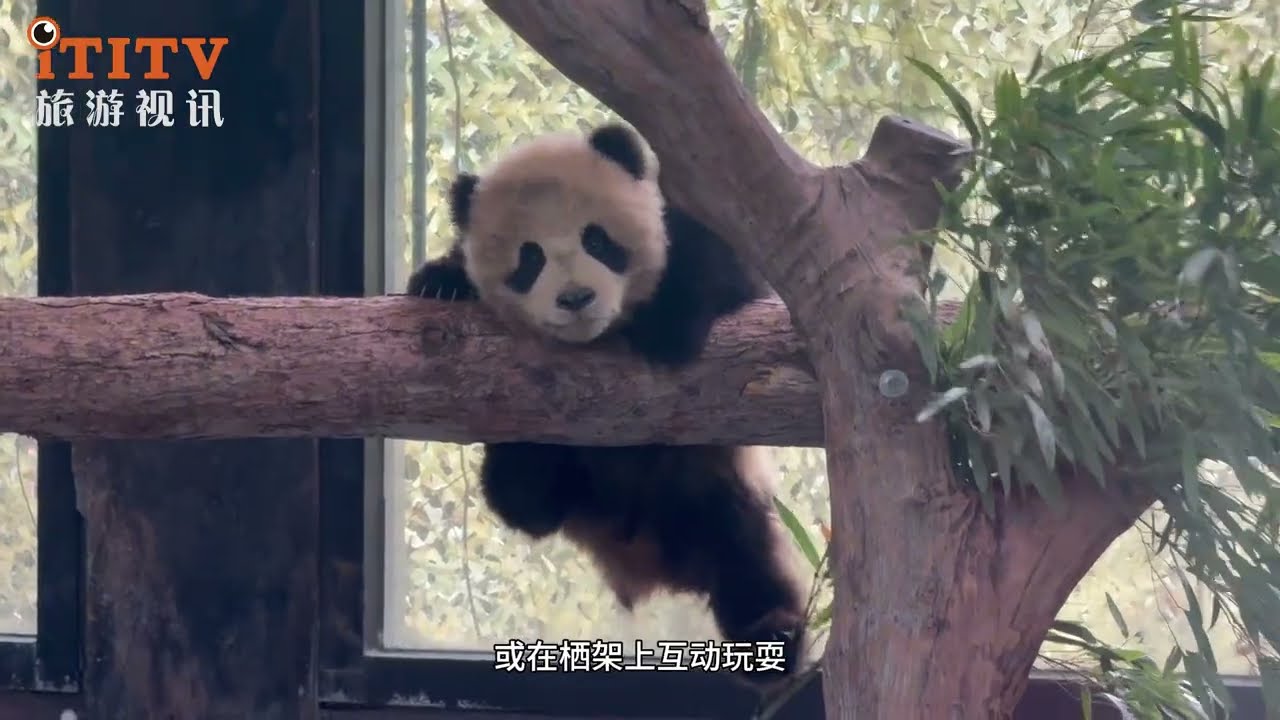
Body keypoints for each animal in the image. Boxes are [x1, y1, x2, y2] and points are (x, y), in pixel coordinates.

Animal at [406, 121, 811, 684]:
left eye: (596, 240)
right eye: (530, 258)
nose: (576, 299)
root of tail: (644, 552)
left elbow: (720, 270)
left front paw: (668, 324)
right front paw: (441, 282)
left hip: (713, 483)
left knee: (745, 554)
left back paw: (770, 636)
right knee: (525, 499)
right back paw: (524, 461)